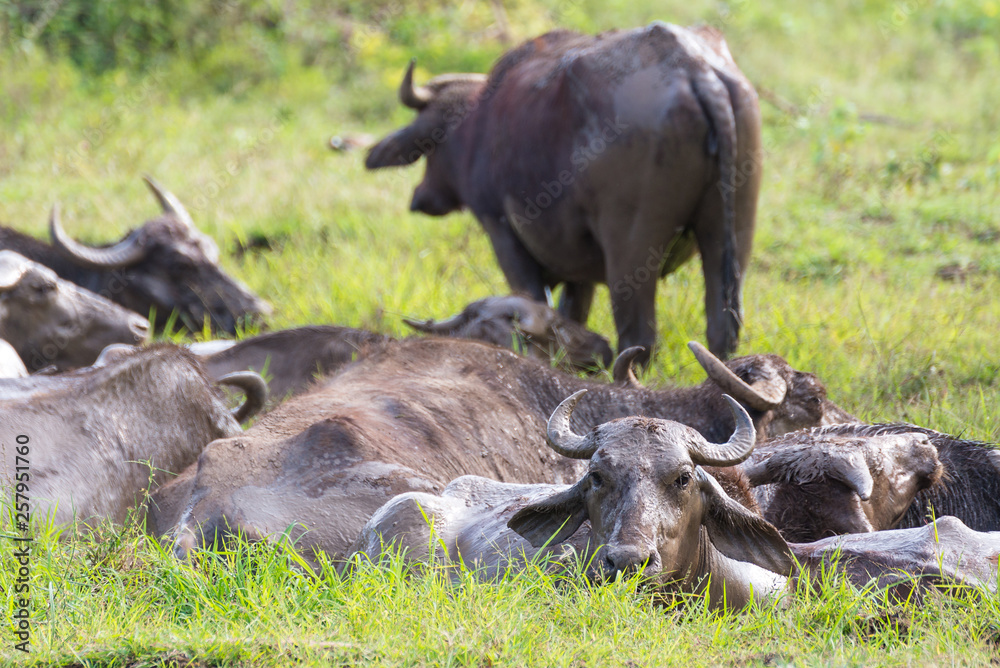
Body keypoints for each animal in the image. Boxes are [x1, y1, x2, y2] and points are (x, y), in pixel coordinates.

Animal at [367, 23, 762, 361]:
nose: (421, 197)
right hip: (731, 234)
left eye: (431, 146)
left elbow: (532, 305)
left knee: (638, 339)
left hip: (631, 249)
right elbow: (572, 313)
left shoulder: (502, 233)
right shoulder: (579, 268)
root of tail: (694, 68)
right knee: (721, 330)